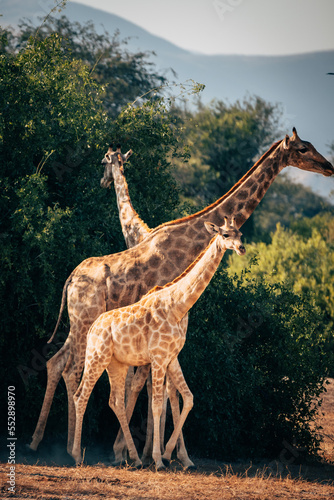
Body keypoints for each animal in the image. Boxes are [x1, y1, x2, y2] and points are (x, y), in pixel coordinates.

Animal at [71, 218, 245, 468]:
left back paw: (133, 458)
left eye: (240, 233)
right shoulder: (159, 357)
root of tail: (93, 328)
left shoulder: (171, 358)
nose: (241, 248)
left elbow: (188, 398)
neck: (177, 306)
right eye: (225, 234)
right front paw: (159, 459)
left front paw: (170, 454)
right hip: (96, 357)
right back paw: (77, 455)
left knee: (116, 402)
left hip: (116, 364)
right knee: (81, 396)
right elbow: (156, 404)